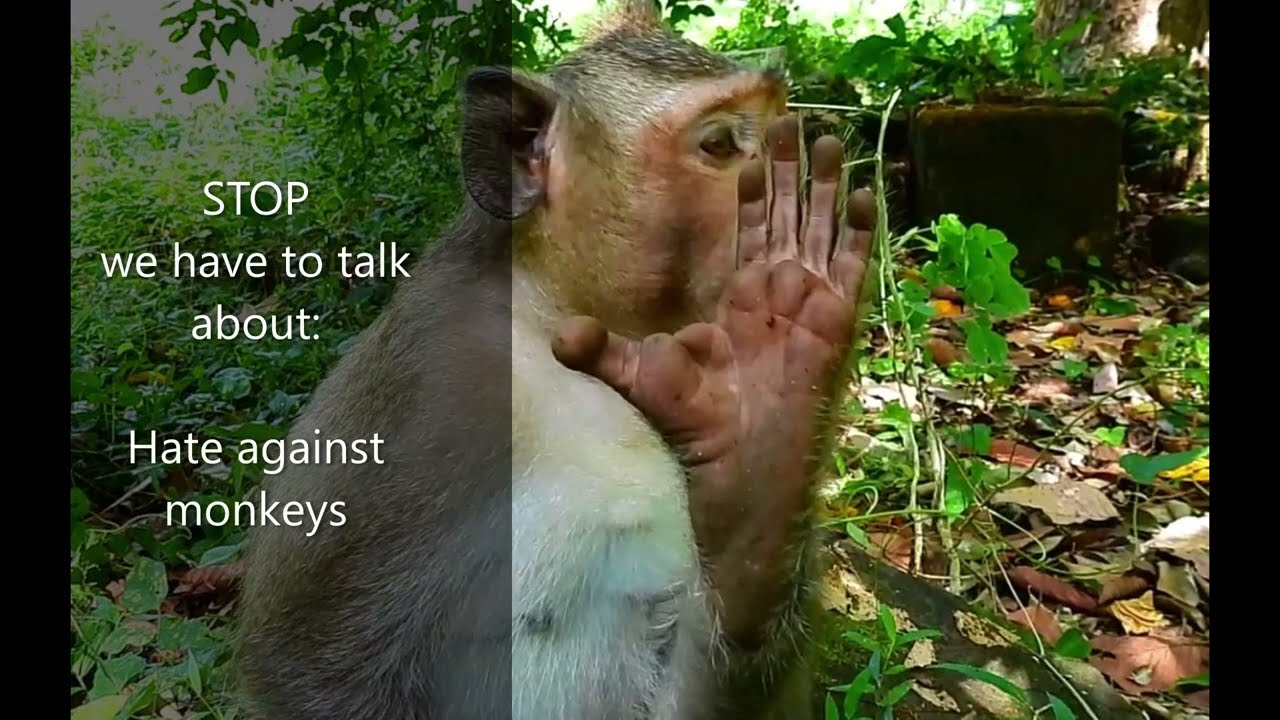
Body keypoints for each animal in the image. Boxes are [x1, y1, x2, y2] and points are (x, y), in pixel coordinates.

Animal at [233, 2, 876, 719]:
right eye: (720, 145)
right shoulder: (426, 390)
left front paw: (764, 456)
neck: (562, 335)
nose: (785, 188)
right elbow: (307, 657)